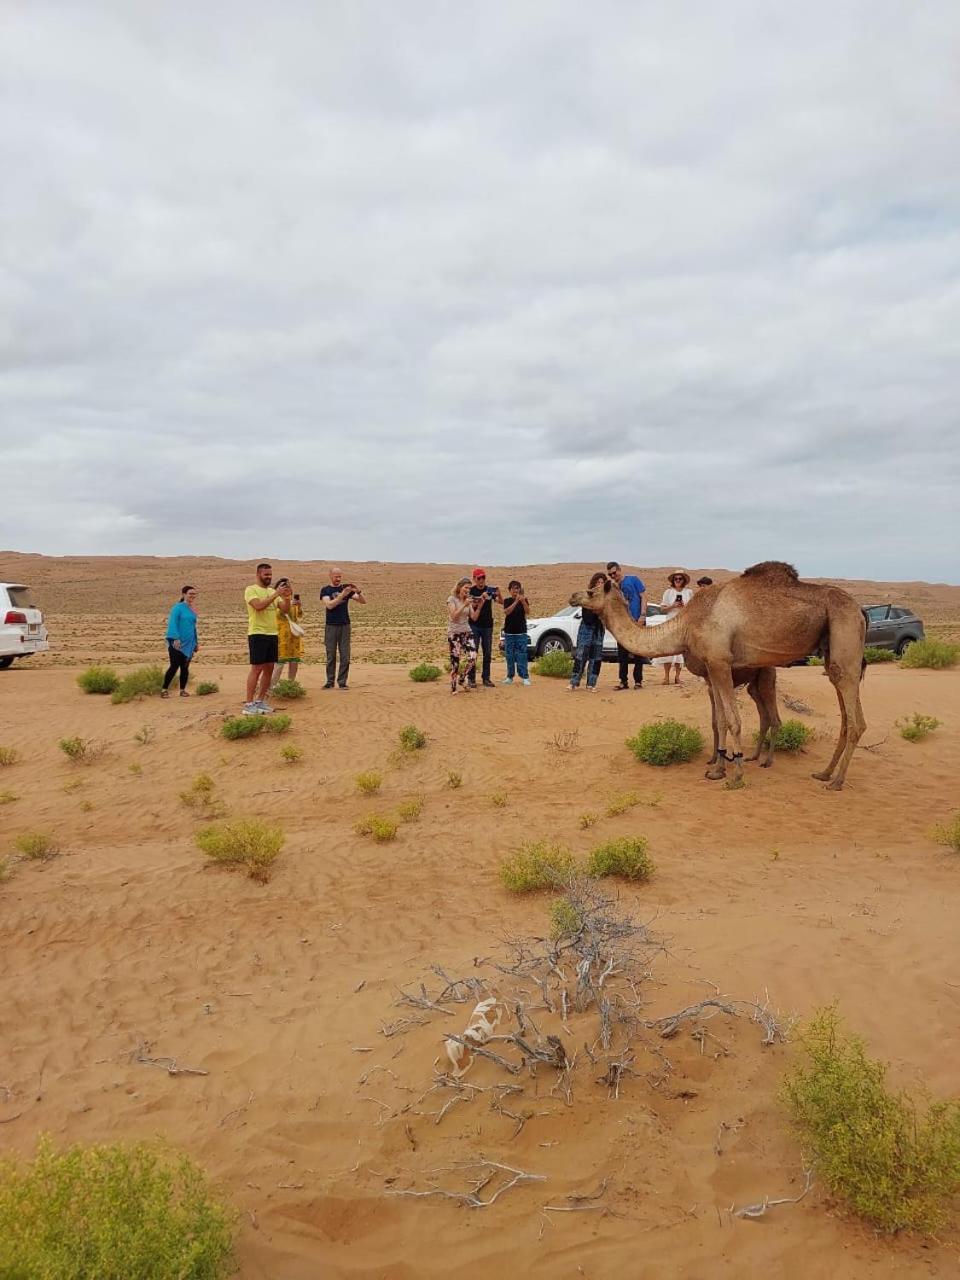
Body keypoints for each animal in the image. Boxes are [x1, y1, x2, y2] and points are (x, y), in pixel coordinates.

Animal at [570, 563, 870, 788]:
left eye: (591, 591)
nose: (573, 596)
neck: (686, 624)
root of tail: (860, 609)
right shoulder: (712, 669)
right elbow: (721, 720)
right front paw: (717, 768)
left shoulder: (719, 662)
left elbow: (733, 721)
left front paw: (735, 774)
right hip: (829, 650)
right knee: (843, 713)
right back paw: (824, 773)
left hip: (844, 630)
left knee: (855, 719)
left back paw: (836, 781)